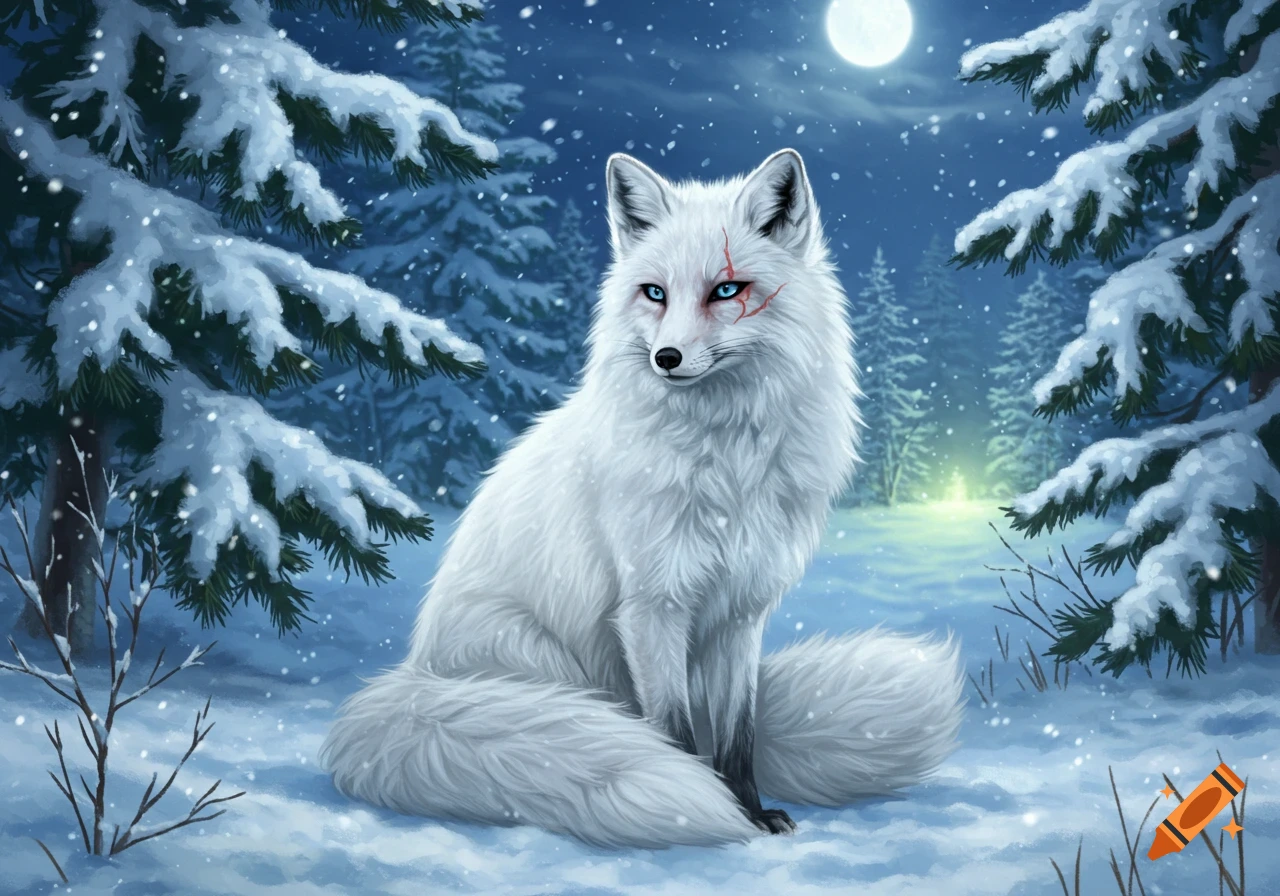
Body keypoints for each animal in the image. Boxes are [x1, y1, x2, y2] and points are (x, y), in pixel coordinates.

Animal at [319, 148, 964, 848]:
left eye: (727, 290)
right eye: (655, 292)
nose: (667, 357)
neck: (726, 469)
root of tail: (415, 674)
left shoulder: (740, 612)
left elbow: (737, 733)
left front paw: (751, 810)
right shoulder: (652, 606)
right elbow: (677, 734)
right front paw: (704, 806)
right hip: (548, 665)